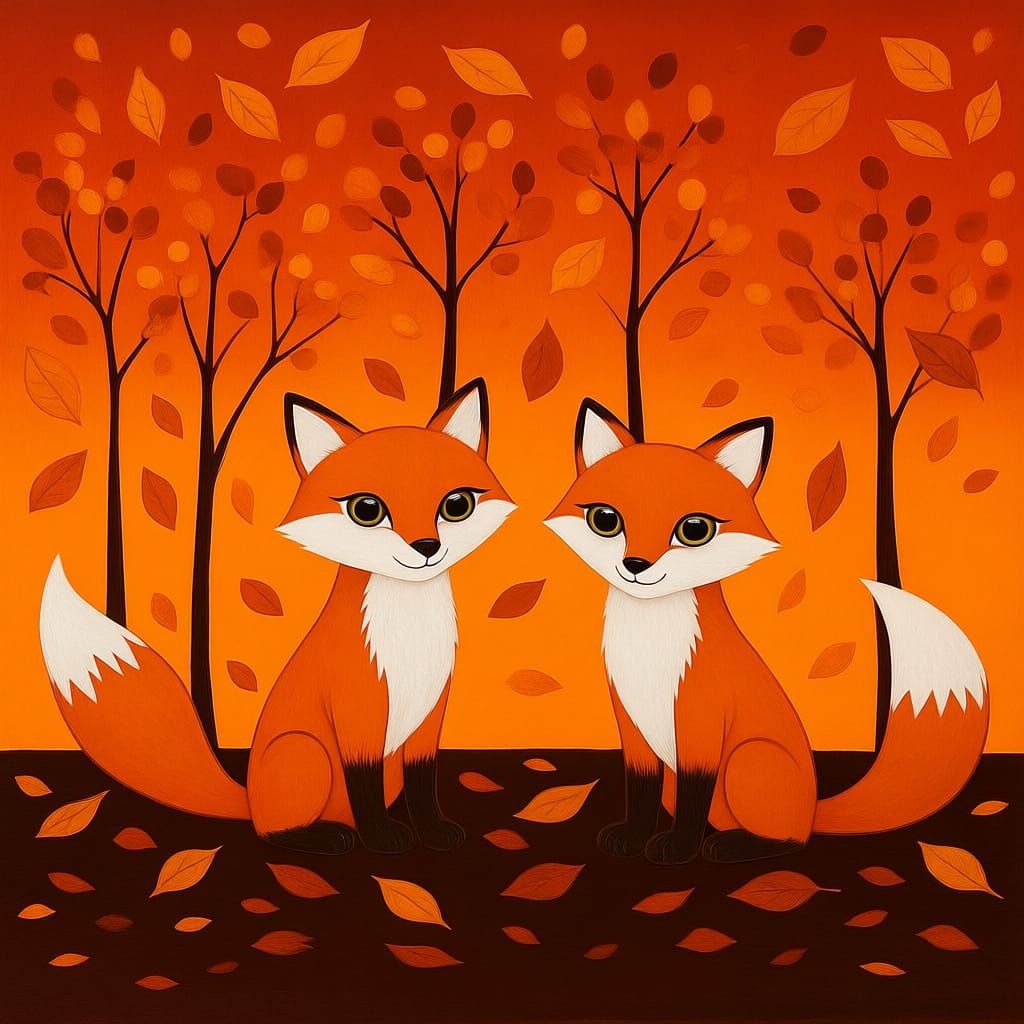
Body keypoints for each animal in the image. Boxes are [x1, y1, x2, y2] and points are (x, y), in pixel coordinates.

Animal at [38, 378, 516, 855]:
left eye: (457, 504)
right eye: (366, 510)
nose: (426, 548)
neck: (409, 634)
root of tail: (249, 797)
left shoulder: (429, 716)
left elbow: (423, 784)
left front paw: (434, 831)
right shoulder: (357, 716)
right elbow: (363, 786)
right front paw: (382, 837)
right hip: (306, 753)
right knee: (274, 832)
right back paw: (329, 836)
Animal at [546, 398, 988, 864]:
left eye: (695, 529)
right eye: (605, 520)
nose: (635, 565)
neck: (650, 645)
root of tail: (813, 807)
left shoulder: (701, 727)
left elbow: (692, 800)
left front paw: (679, 848)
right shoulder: (632, 729)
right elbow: (641, 794)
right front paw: (633, 839)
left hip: (748, 761)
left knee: (789, 839)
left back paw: (730, 845)